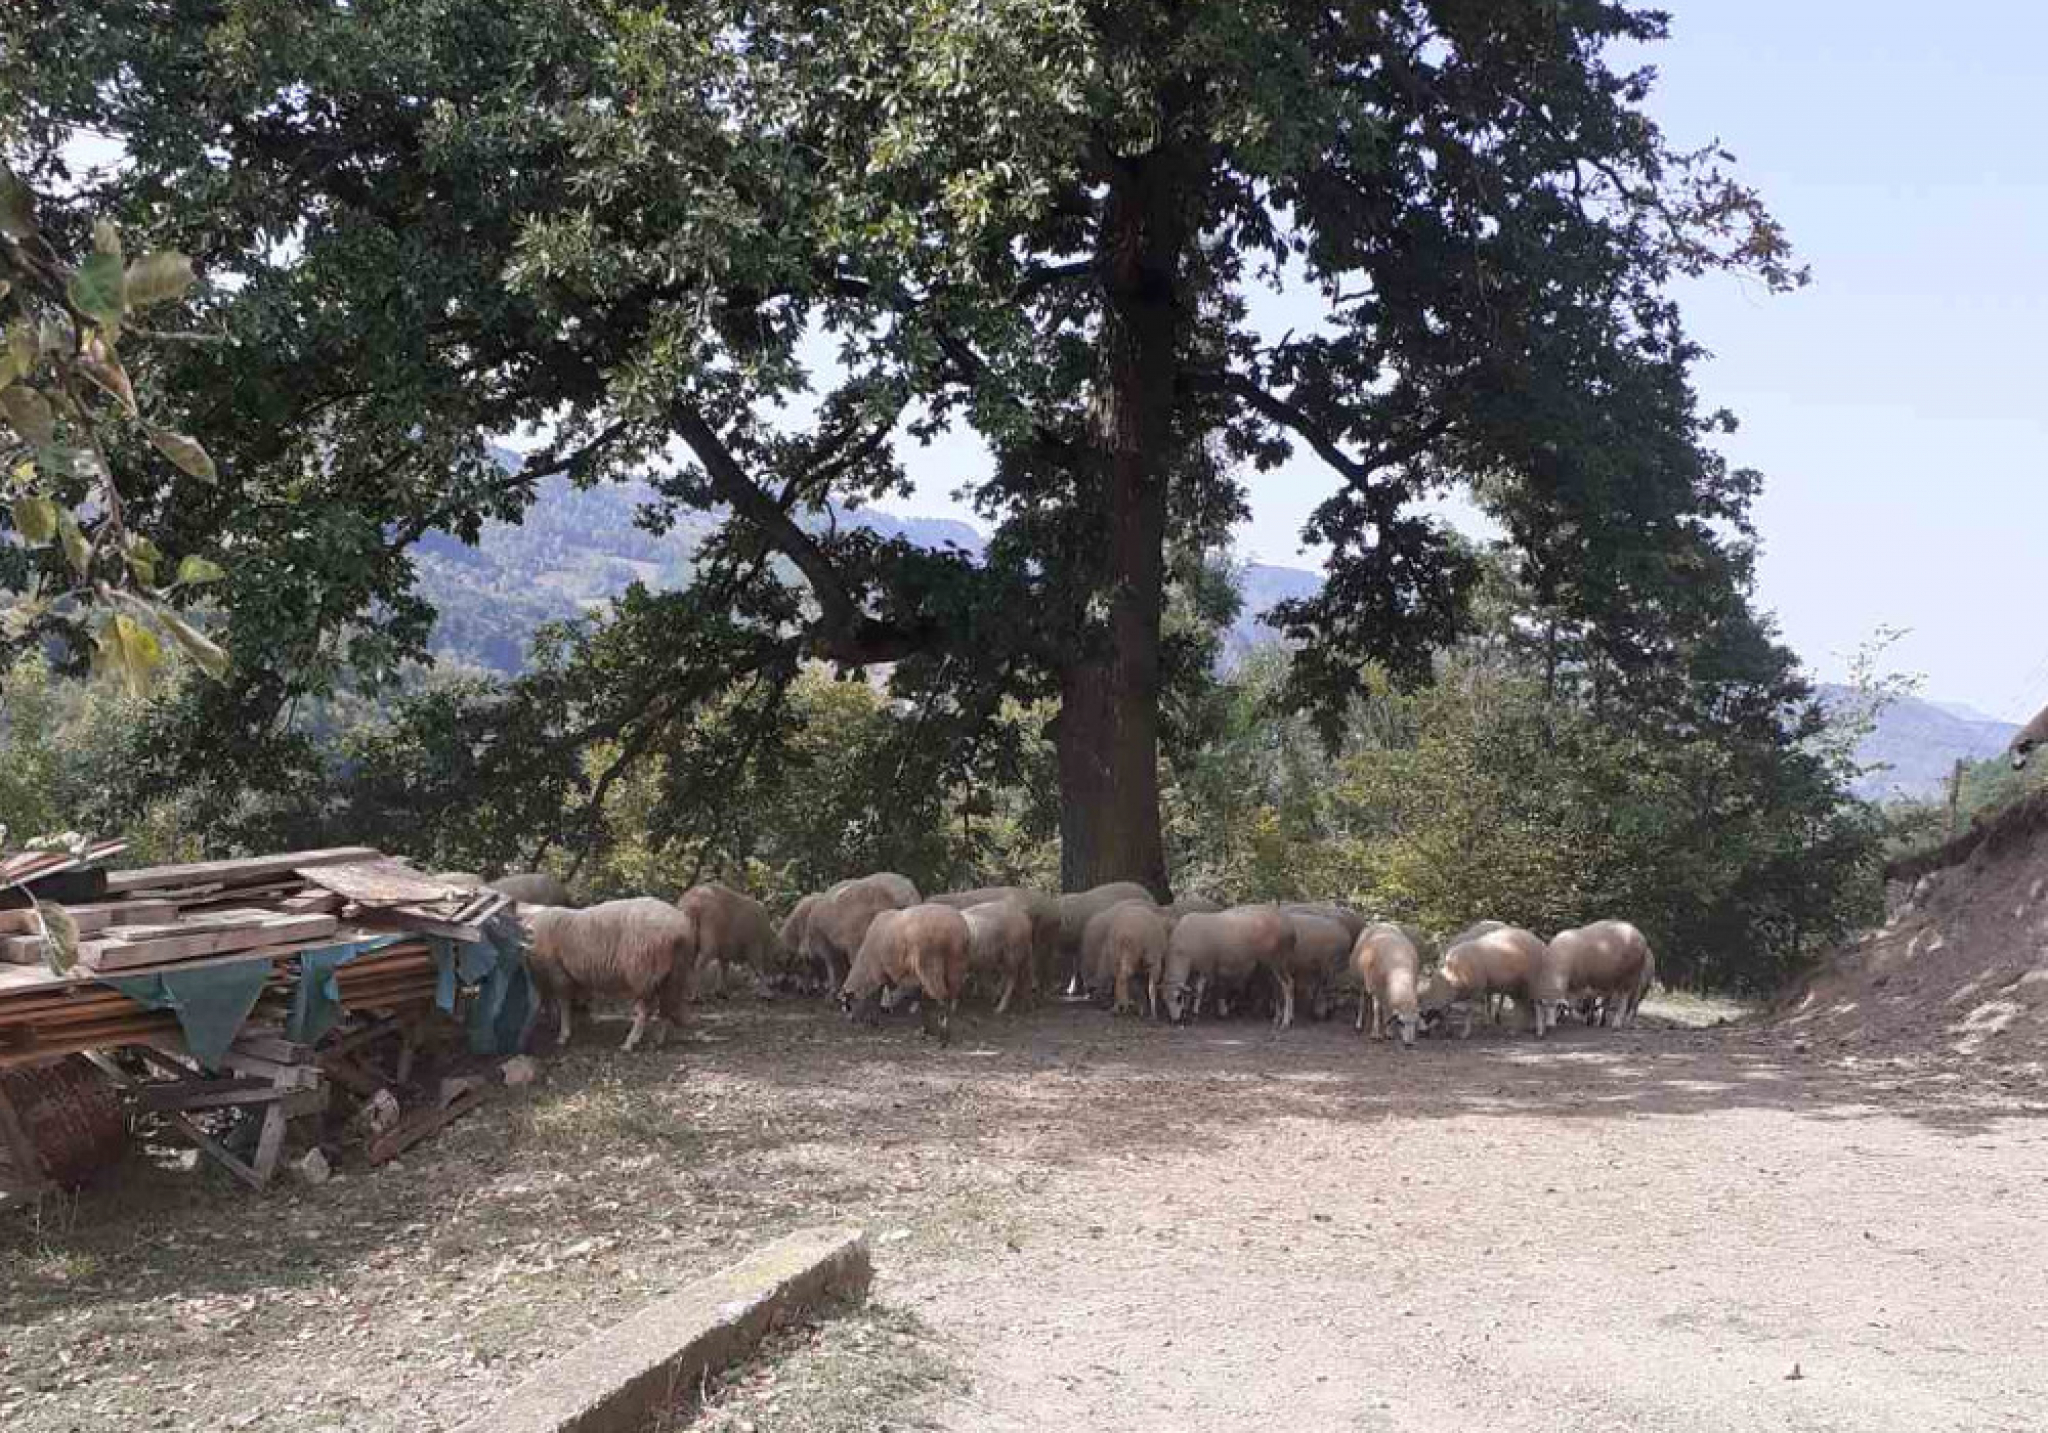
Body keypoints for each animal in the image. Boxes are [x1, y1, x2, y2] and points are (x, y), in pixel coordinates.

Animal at [520, 896, 696, 1056]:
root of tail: (680, 928)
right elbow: (550, 999)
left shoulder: (557, 972)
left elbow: (563, 1003)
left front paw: (563, 1034)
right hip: (673, 974)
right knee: (666, 1005)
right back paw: (658, 1039)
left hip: (643, 972)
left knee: (645, 1010)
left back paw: (630, 1042)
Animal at [847, 900, 974, 1048]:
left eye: (847, 1005)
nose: (851, 1020)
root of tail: (955, 929)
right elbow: (924, 1002)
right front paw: (926, 1031)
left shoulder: (881, 971)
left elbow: (875, 996)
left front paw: (874, 1021)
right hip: (957, 964)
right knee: (952, 996)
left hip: (929, 964)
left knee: (943, 998)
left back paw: (943, 1040)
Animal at [1155, 904, 1294, 1031]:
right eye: (1164, 1000)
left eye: (1178, 998)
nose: (1175, 1020)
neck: (1181, 955)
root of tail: (1288, 926)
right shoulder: (1195, 968)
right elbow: (1191, 990)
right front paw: (1187, 1011)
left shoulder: (1206, 965)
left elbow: (1199, 989)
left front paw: (1195, 1014)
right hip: (1268, 964)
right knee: (1276, 987)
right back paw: (1277, 1018)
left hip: (1278, 960)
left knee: (1288, 985)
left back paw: (1286, 1022)